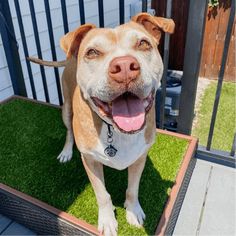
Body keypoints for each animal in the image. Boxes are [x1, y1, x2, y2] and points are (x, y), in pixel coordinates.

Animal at [29, 13, 173, 236]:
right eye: (92, 52)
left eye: (143, 43)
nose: (124, 67)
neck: (115, 129)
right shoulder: (90, 161)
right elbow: (102, 194)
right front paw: (107, 220)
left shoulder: (140, 157)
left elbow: (133, 189)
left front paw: (133, 211)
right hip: (66, 109)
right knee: (69, 130)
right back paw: (66, 151)